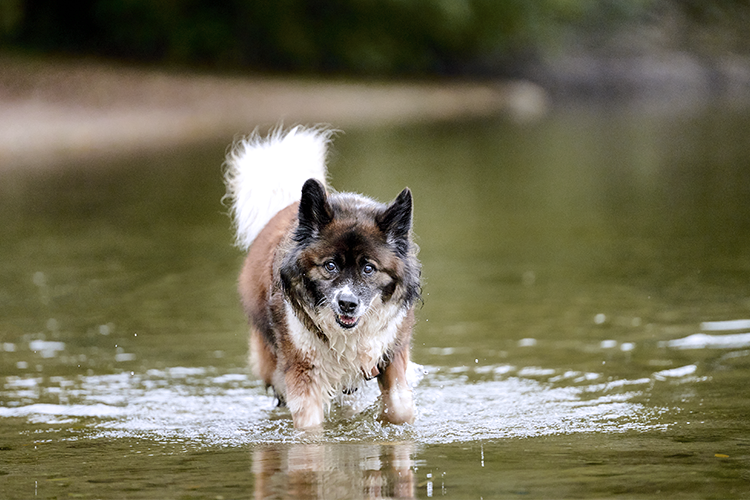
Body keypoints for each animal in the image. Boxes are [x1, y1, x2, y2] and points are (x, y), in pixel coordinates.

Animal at [223, 126, 424, 430]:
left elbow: (400, 407)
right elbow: (309, 426)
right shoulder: (302, 368)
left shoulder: (391, 348)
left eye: (369, 269)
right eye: (330, 266)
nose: (347, 304)